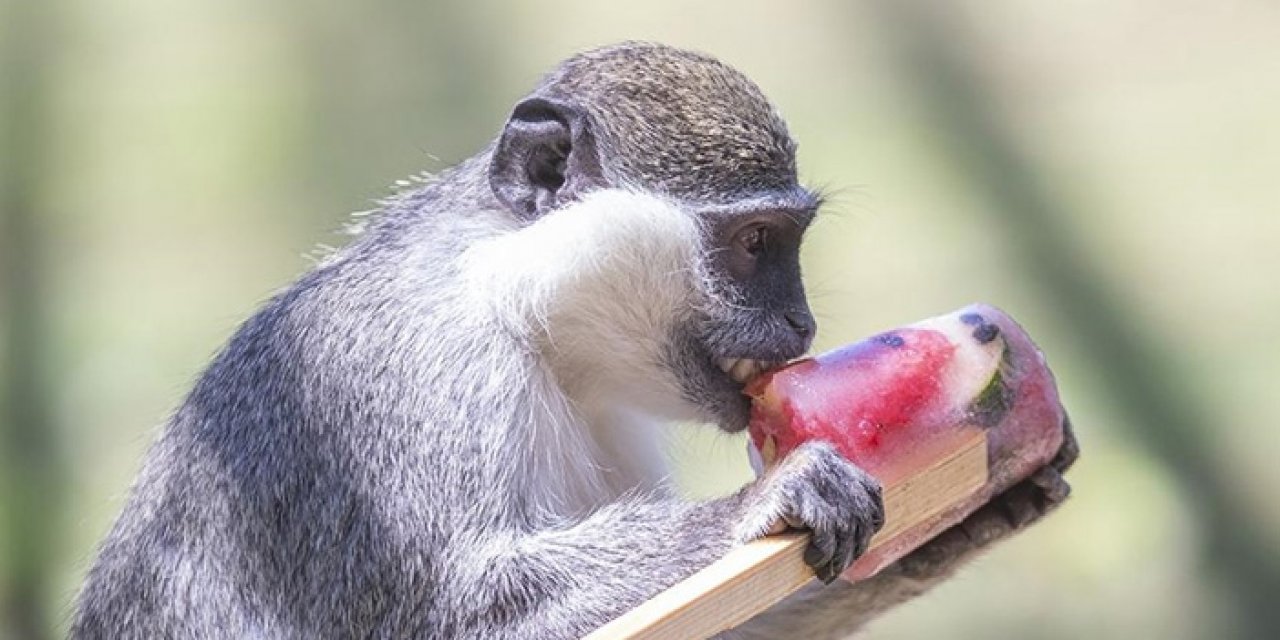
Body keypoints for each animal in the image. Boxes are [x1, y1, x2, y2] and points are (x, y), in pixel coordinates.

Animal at [67, 42, 1070, 637]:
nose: (802, 325)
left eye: (787, 241)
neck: (524, 312)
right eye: (757, 244)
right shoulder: (405, 377)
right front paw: (768, 501)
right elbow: (457, 610)